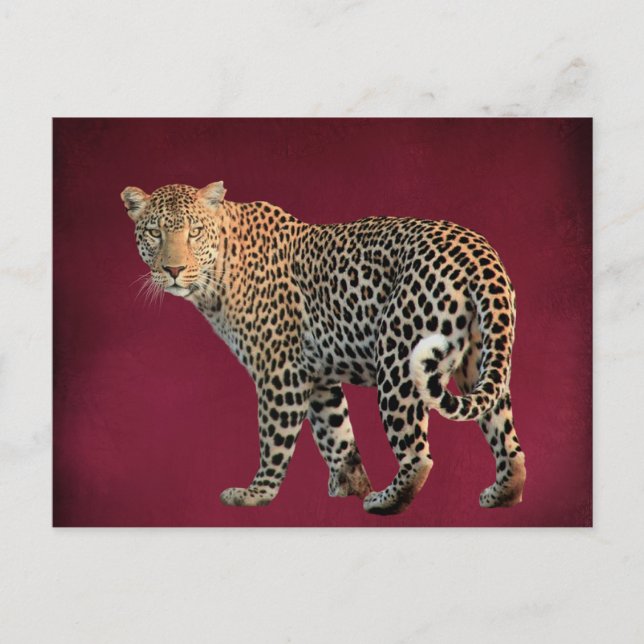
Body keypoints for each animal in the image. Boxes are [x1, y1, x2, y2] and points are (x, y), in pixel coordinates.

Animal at [121, 181, 526, 515]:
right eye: (155, 233)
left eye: (194, 232)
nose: (174, 270)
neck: (218, 271)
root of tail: (479, 252)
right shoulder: (317, 377)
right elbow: (336, 435)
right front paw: (350, 486)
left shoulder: (280, 372)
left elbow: (274, 438)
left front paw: (256, 494)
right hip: (482, 359)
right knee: (507, 439)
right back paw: (502, 494)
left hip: (398, 359)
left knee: (418, 455)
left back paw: (384, 501)